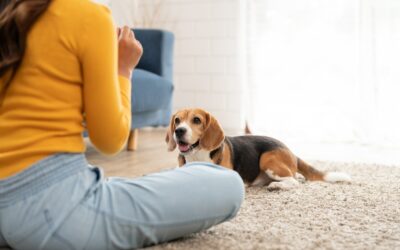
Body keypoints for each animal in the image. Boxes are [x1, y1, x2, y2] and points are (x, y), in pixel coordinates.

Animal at [166, 108, 350, 189]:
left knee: (294, 181)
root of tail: (290, 150)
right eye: (177, 120)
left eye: (196, 120)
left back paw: (277, 186)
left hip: (267, 160)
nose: (179, 131)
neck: (196, 156)